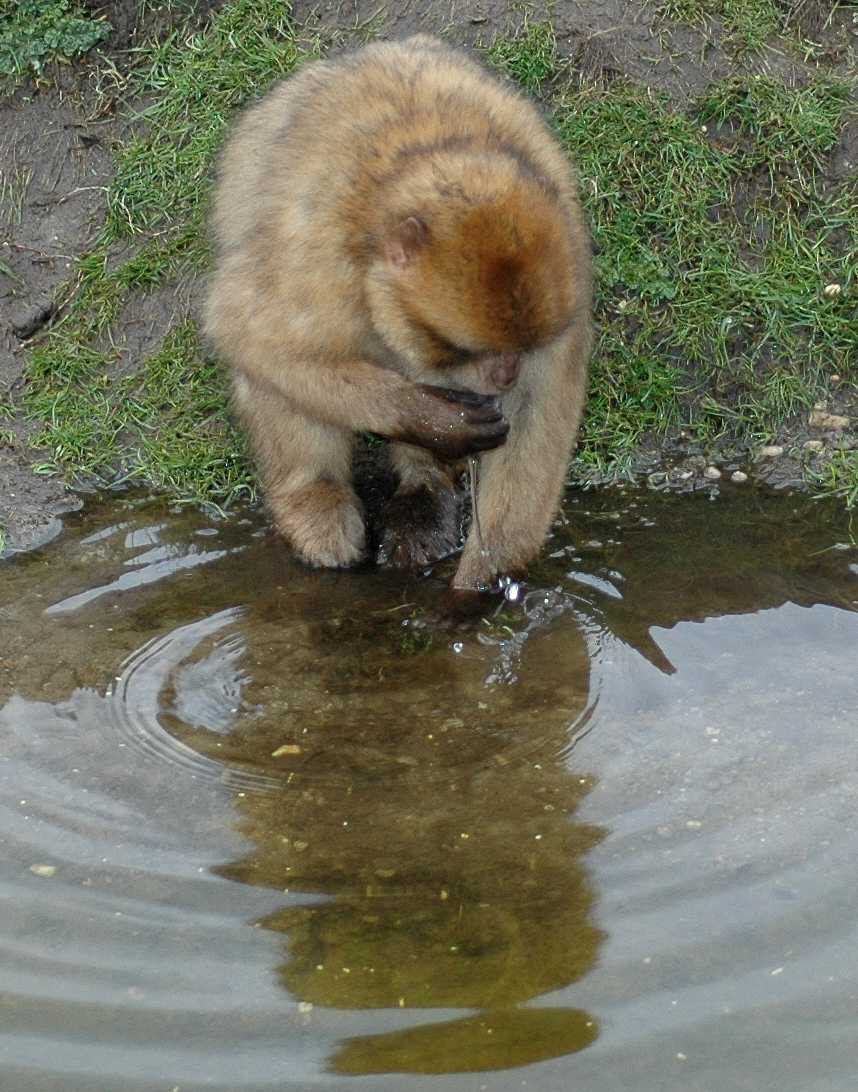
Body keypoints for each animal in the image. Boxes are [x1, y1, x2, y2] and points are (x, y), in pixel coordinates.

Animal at [201, 34, 589, 594]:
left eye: (520, 349)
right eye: (461, 348)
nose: (504, 374)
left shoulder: (569, 277)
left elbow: (539, 412)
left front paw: (478, 585)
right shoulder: (320, 269)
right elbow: (248, 334)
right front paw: (432, 418)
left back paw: (424, 498)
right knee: (278, 375)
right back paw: (314, 502)